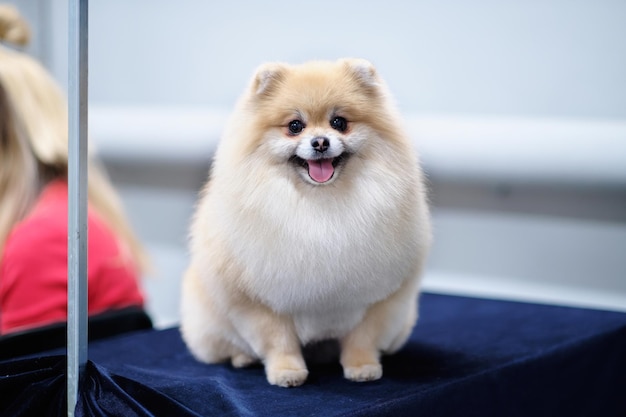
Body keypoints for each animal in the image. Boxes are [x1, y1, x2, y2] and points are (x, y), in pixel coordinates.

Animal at [180, 58, 432, 386]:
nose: (320, 142)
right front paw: (287, 371)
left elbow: (362, 337)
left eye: (339, 122)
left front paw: (362, 366)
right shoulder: (260, 300)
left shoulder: (375, 296)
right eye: (294, 126)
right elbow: (278, 339)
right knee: (227, 346)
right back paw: (243, 358)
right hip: (208, 319)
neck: (320, 201)